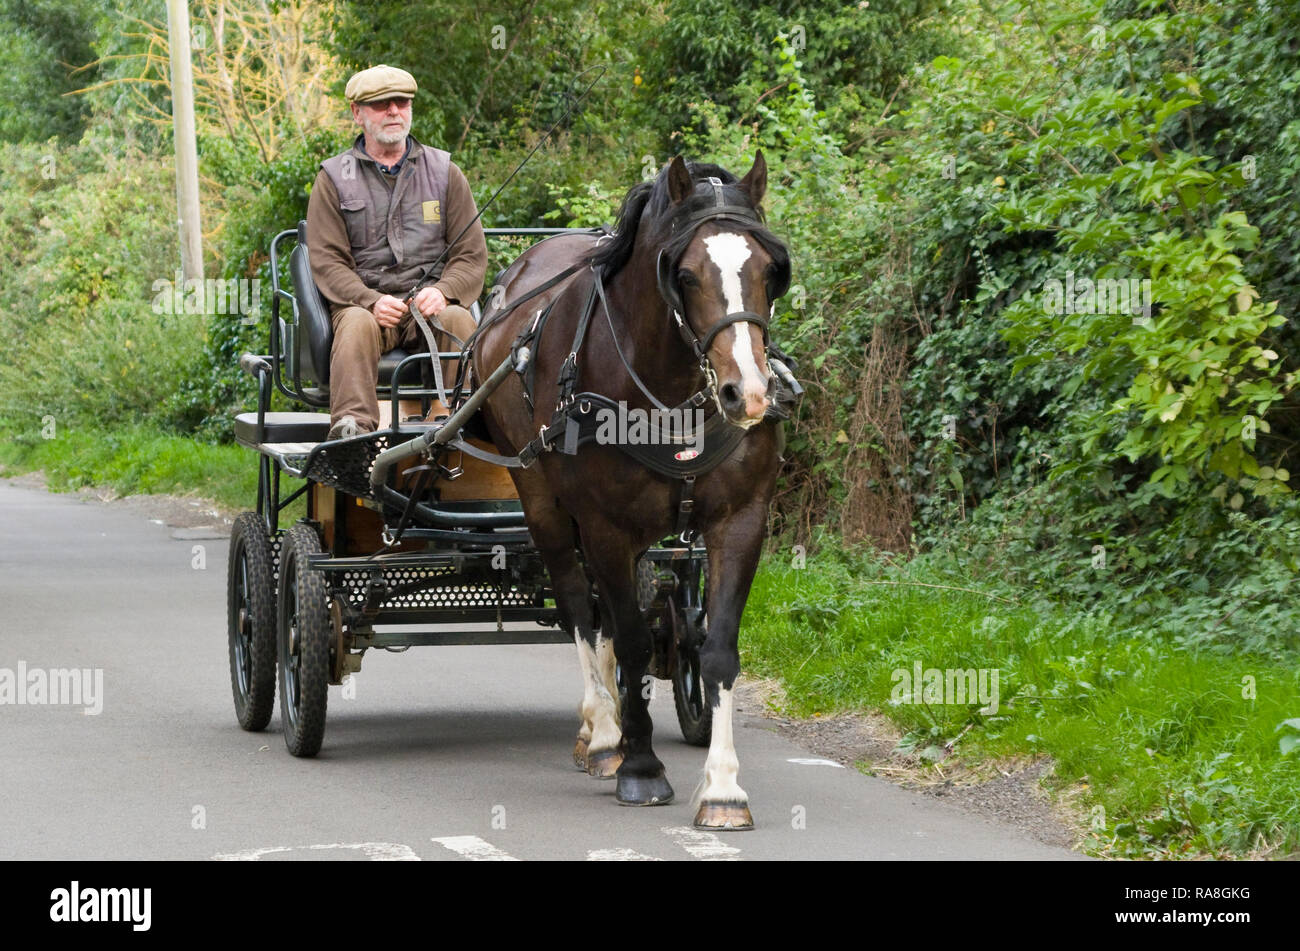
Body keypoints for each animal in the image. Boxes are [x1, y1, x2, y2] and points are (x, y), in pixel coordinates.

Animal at [473, 152, 785, 826]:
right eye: (686, 275)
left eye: (769, 271)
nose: (747, 394)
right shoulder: (605, 526)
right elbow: (635, 640)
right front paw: (640, 766)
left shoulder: (741, 519)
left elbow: (715, 647)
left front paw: (723, 788)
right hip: (541, 498)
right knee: (579, 606)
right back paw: (607, 734)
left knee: (609, 615)